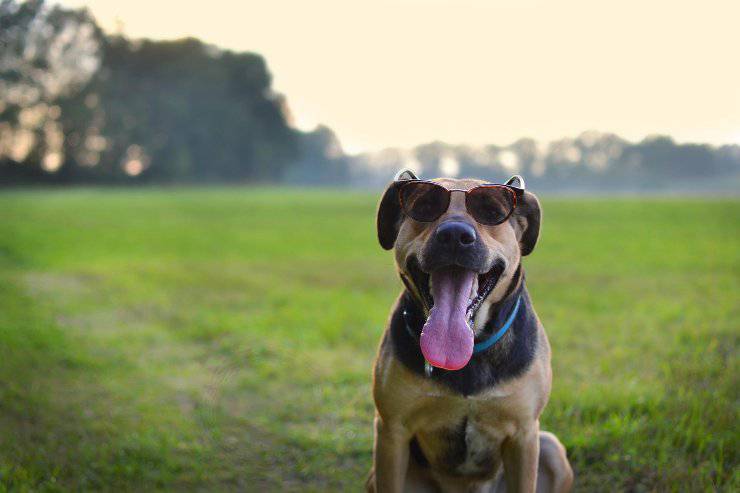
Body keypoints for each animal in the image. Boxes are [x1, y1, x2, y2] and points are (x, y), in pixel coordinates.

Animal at [368, 170, 576, 492]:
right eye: (425, 206)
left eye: (491, 211)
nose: (454, 235)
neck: (471, 348)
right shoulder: (392, 432)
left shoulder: (525, 434)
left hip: (550, 448)